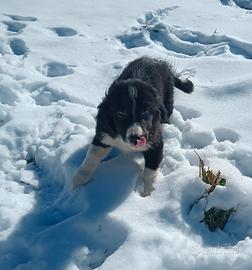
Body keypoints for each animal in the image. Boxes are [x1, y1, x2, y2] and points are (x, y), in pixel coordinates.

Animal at [72, 57, 194, 196]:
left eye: (145, 112)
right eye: (120, 113)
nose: (136, 138)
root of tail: (158, 62)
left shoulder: (155, 140)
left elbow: (150, 170)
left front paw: (145, 194)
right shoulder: (104, 132)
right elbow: (92, 155)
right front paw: (78, 180)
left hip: (168, 97)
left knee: (167, 112)